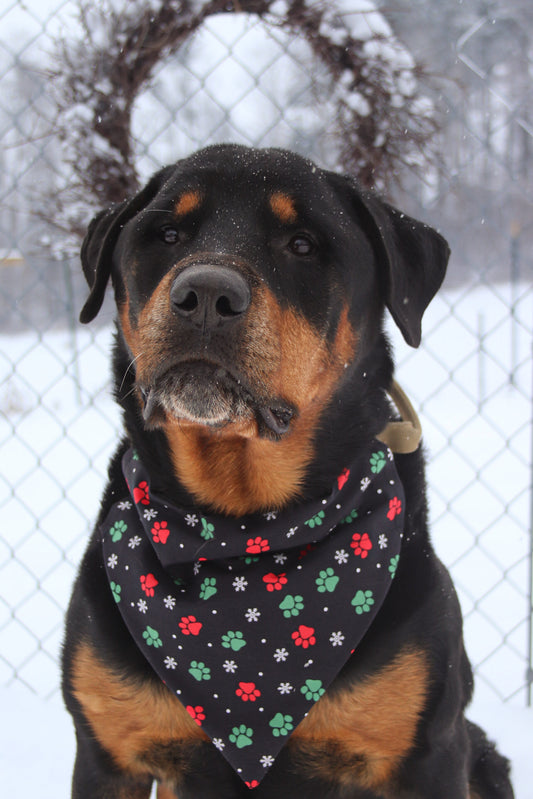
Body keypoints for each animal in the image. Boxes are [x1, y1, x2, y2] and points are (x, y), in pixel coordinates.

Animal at [61, 145, 512, 799]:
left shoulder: (429, 753)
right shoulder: (106, 752)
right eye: (167, 234)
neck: (245, 531)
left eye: (303, 244)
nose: (204, 294)